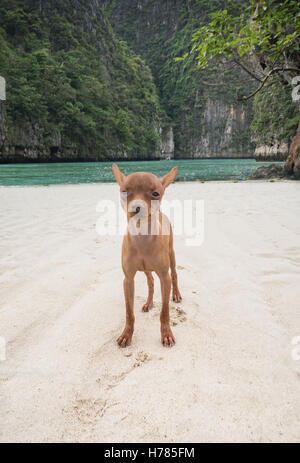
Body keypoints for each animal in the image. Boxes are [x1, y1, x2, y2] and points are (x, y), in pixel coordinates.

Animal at [112, 164, 182, 348]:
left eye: (155, 194)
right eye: (124, 192)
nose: (136, 207)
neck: (142, 235)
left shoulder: (164, 278)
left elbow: (164, 311)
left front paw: (166, 334)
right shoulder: (128, 280)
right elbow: (129, 312)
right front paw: (126, 334)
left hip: (171, 255)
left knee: (174, 274)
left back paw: (176, 294)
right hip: (146, 269)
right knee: (150, 282)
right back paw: (149, 303)